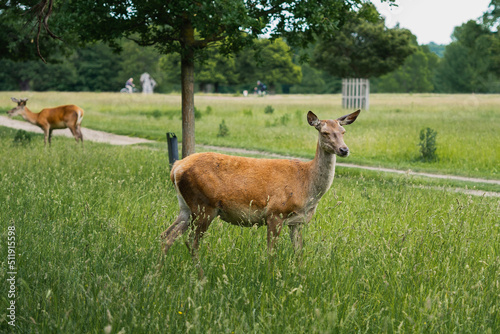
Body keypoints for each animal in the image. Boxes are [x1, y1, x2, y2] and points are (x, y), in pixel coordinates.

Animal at [162, 109, 362, 274]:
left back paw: (158, 274)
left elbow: (299, 252)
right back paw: (200, 277)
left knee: (167, 235)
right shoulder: (275, 213)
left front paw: (301, 276)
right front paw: (270, 277)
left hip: (186, 207)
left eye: (343, 132)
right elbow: (271, 252)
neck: (306, 185)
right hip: (204, 205)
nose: (344, 149)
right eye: (325, 132)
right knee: (191, 241)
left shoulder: (297, 221)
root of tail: (176, 168)